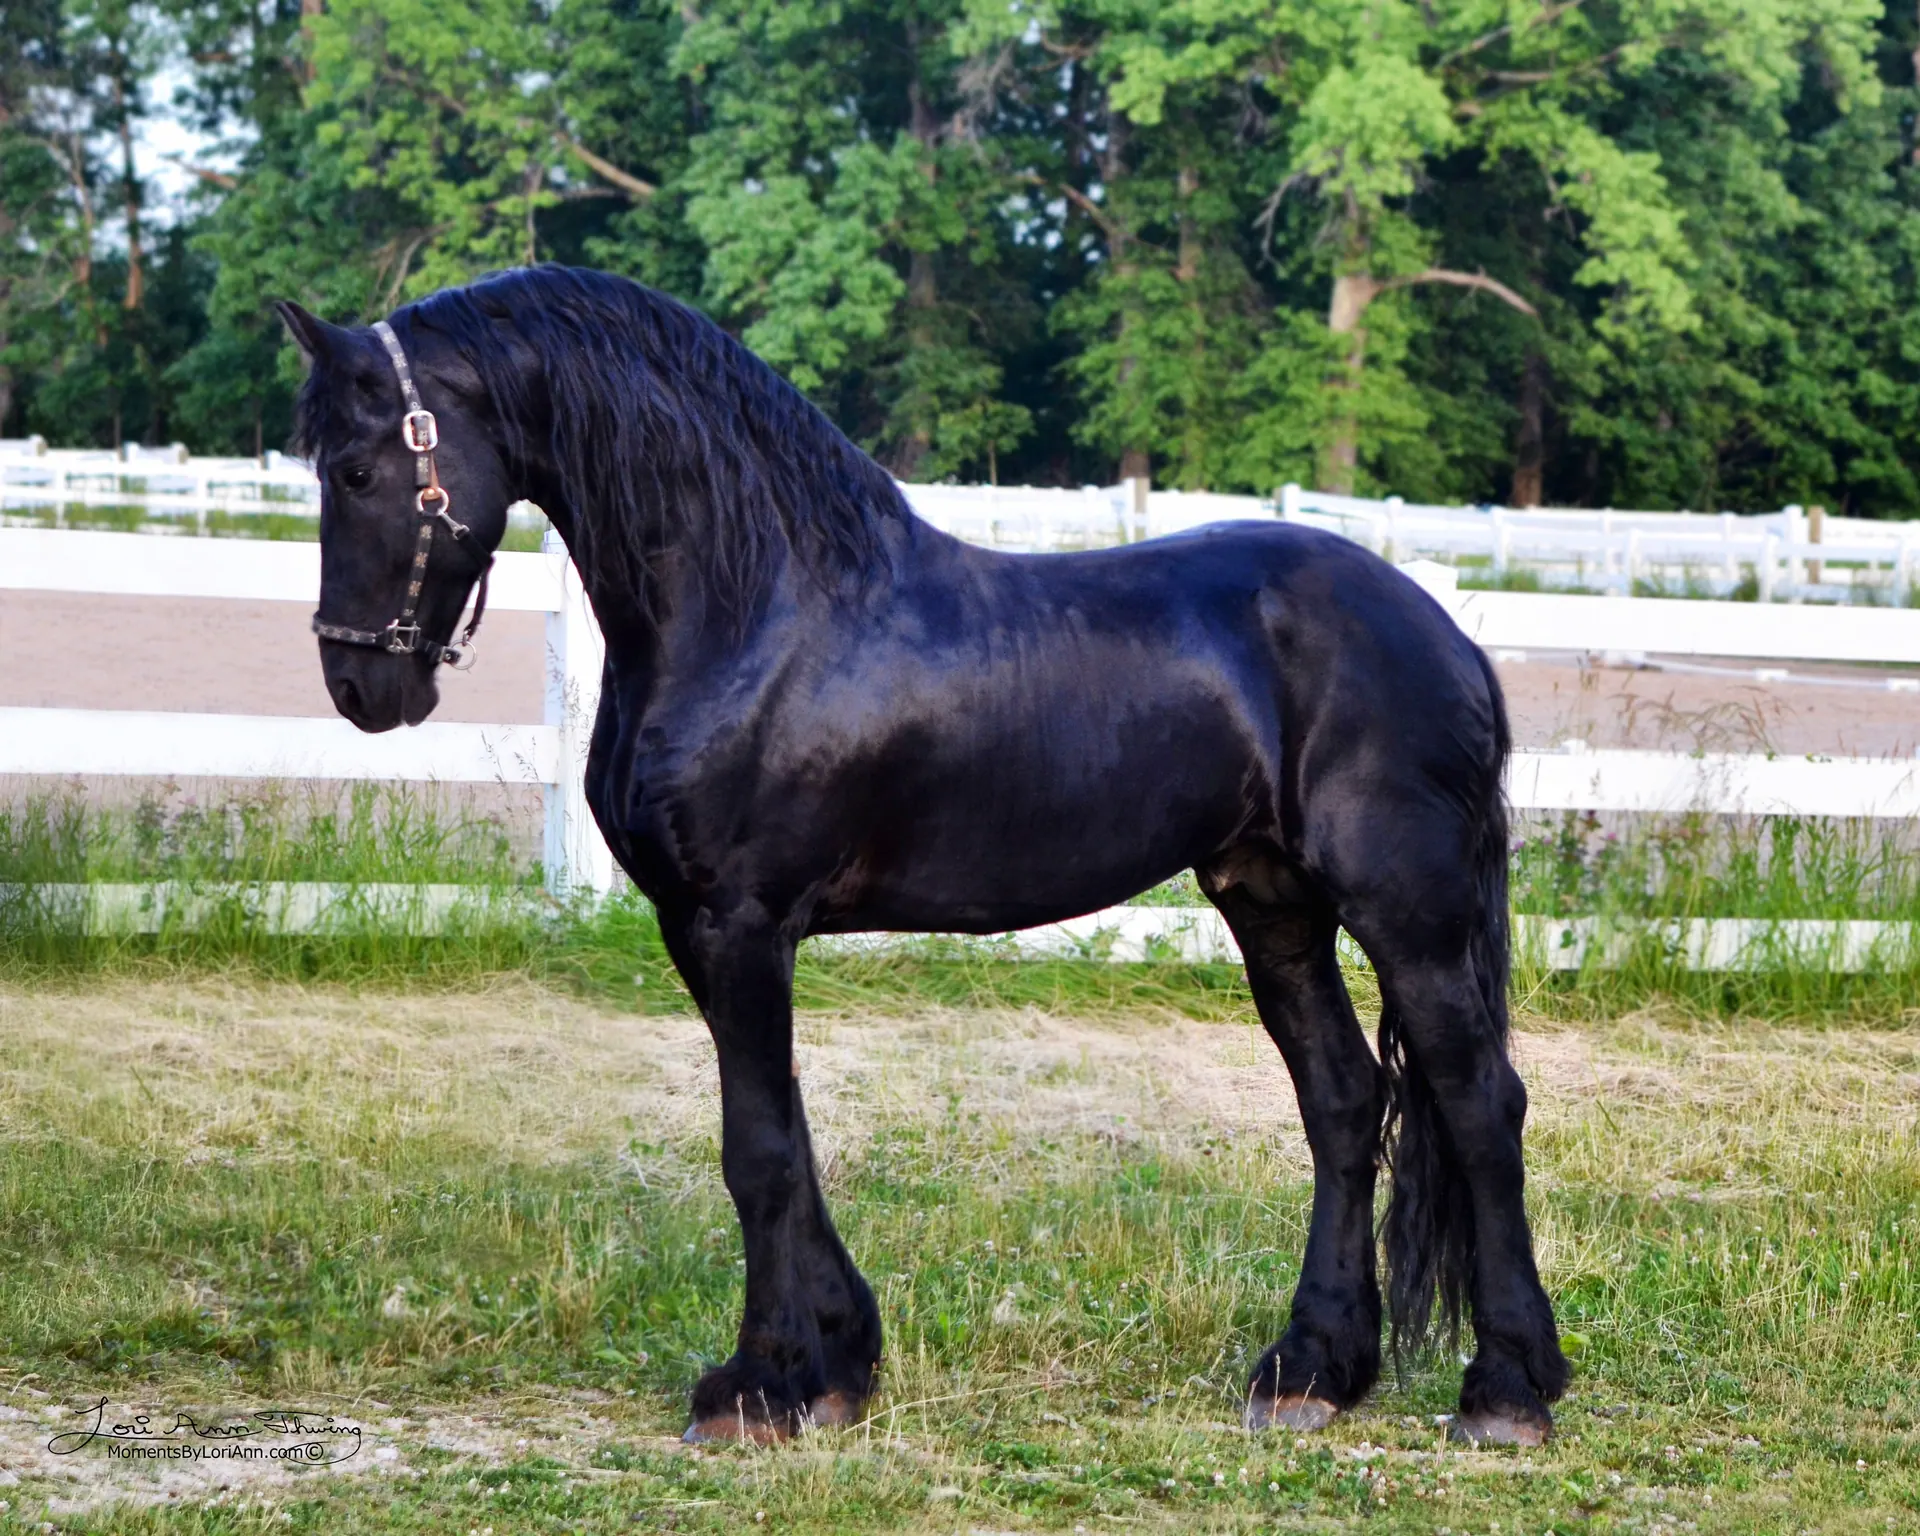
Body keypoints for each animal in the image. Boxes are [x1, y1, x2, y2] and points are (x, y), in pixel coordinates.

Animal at [275, 265, 1568, 1448]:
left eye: (355, 471)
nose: (357, 685)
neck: (760, 608)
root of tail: (1447, 634)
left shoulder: (741, 921)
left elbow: (755, 1149)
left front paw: (755, 1388)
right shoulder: (698, 926)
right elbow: (786, 1140)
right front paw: (835, 1365)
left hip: (1408, 909)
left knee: (1476, 1102)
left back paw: (1507, 1390)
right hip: (1273, 902)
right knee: (1346, 1104)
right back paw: (1312, 1370)